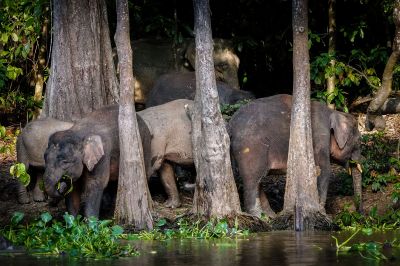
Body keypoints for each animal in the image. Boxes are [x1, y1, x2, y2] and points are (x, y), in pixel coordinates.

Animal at [228, 94, 362, 217]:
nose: (358, 212)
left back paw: (270, 216)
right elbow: (324, 171)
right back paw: (258, 217)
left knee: (257, 180)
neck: (334, 112)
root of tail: (230, 125)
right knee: (252, 180)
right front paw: (323, 213)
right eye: (358, 142)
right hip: (251, 147)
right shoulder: (320, 137)